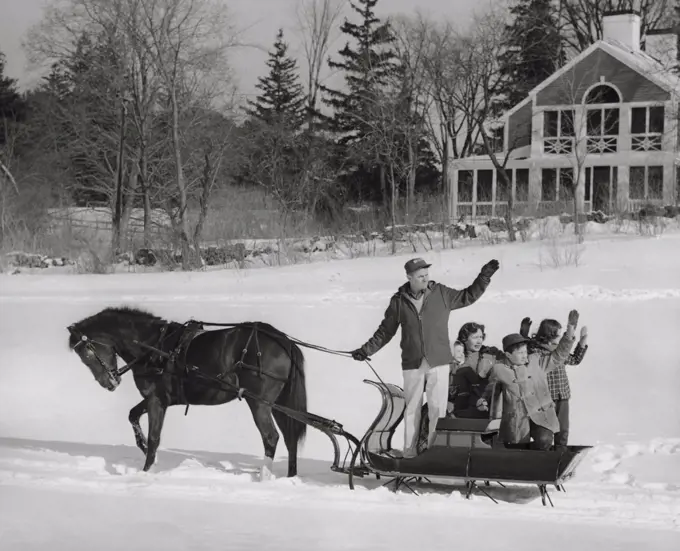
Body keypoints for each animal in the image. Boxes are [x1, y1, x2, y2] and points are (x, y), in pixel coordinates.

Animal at [65, 304, 306, 480]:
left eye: (86, 353)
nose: (109, 383)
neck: (153, 347)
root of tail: (283, 342)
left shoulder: (156, 400)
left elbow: (154, 437)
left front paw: (146, 471)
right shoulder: (159, 398)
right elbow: (133, 416)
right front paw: (145, 451)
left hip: (259, 403)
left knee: (271, 437)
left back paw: (264, 477)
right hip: (277, 403)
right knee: (290, 438)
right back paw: (290, 477)